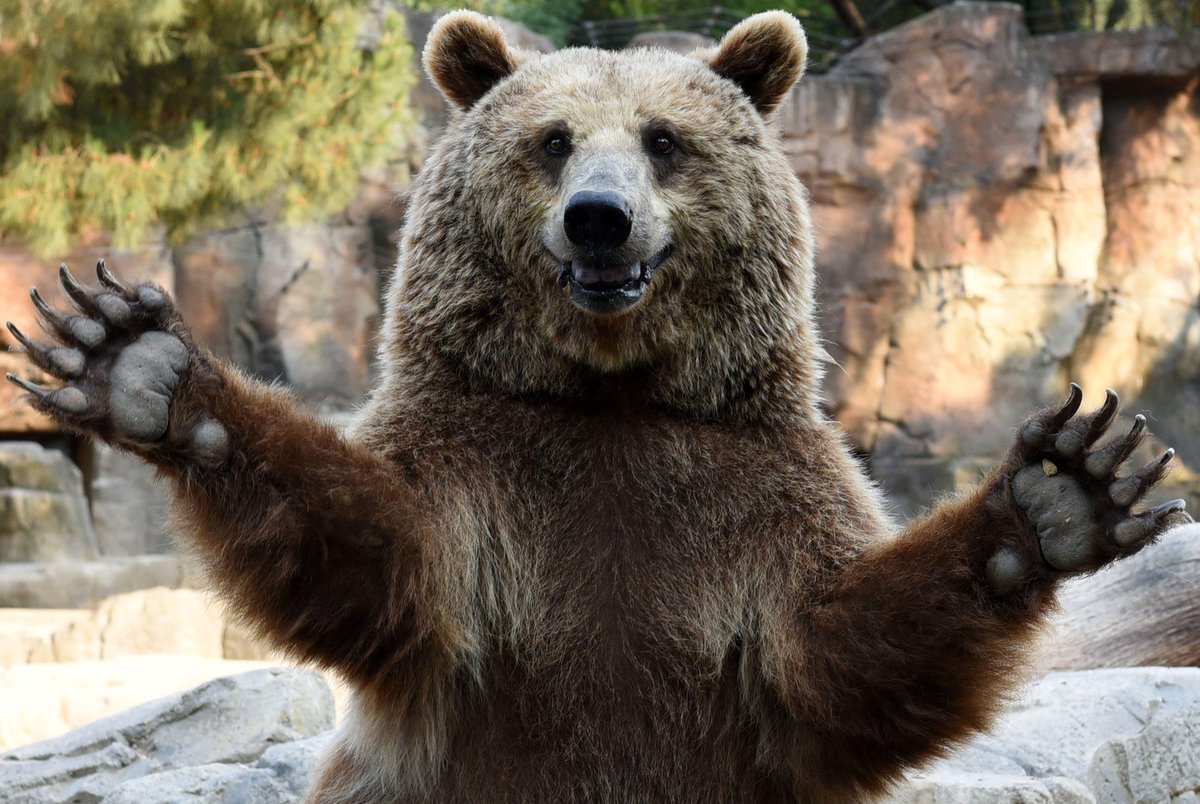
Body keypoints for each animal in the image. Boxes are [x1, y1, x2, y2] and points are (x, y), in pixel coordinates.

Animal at [5, 9, 1191, 802]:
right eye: (553, 139)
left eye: (664, 138)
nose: (599, 220)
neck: (612, 390)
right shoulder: (487, 468)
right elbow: (372, 551)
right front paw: (142, 363)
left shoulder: (749, 487)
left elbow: (836, 653)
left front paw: (1063, 490)